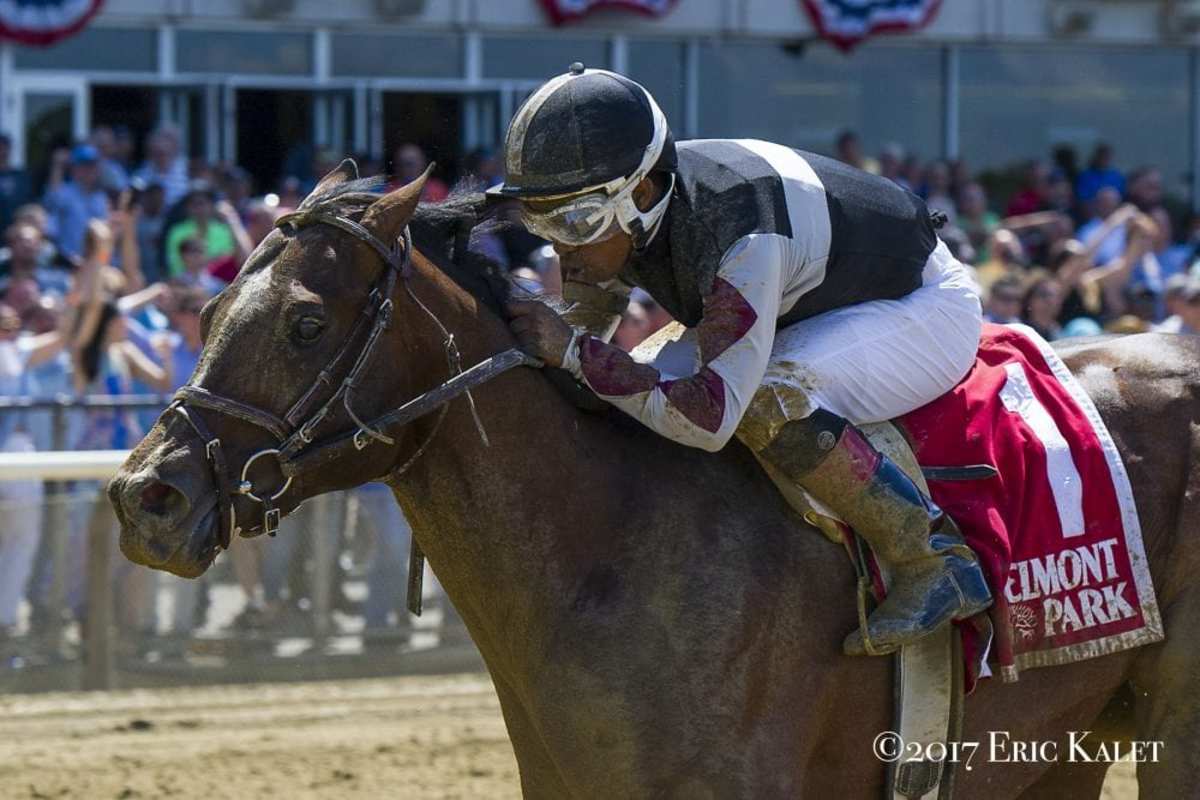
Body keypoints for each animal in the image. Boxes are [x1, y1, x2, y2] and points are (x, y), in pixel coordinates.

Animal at [109, 163, 1200, 798]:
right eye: (208, 312)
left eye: (304, 322)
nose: (146, 498)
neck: (612, 551)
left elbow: (729, 397)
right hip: (1058, 748)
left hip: (1167, 731)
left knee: (779, 396)